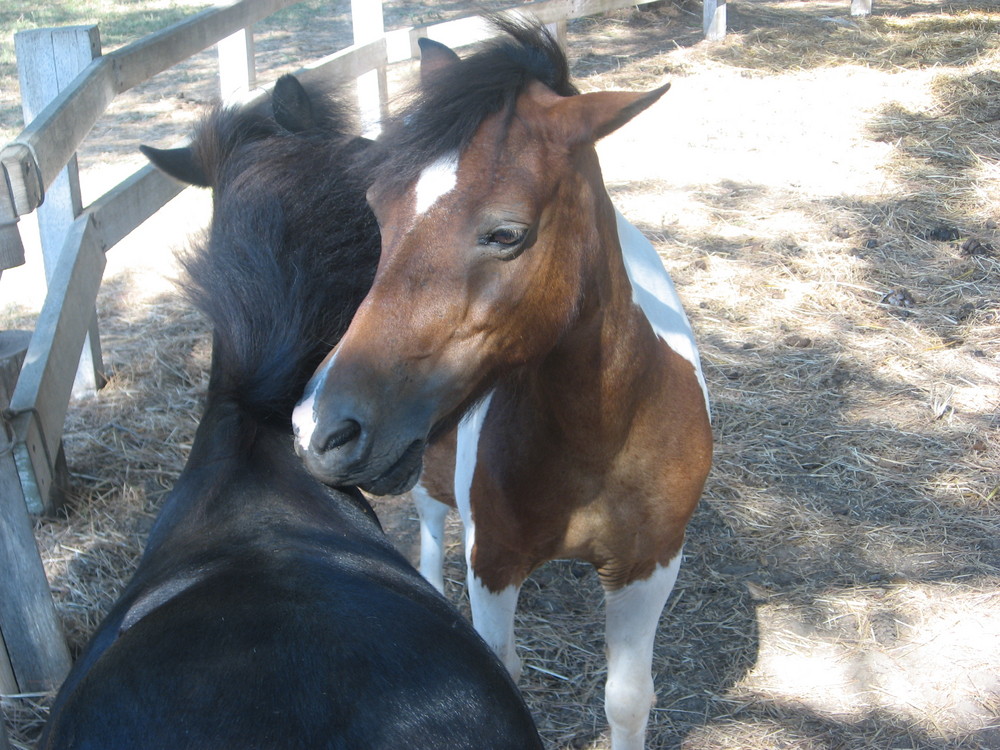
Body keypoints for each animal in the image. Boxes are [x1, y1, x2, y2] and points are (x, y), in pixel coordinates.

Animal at [292, 19, 716, 750]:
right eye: (379, 211)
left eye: (506, 233)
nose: (317, 427)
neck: (599, 439)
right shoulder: (491, 564)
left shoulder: (650, 567)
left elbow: (628, 700)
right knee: (430, 523)